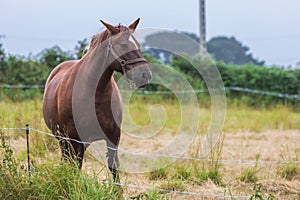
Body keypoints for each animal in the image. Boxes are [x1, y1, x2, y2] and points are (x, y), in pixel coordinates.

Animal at [42, 18, 152, 180]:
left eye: (138, 45)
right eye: (123, 45)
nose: (145, 75)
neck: (94, 94)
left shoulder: (113, 136)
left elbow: (114, 166)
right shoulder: (75, 138)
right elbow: (77, 166)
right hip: (62, 138)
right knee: (66, 158)